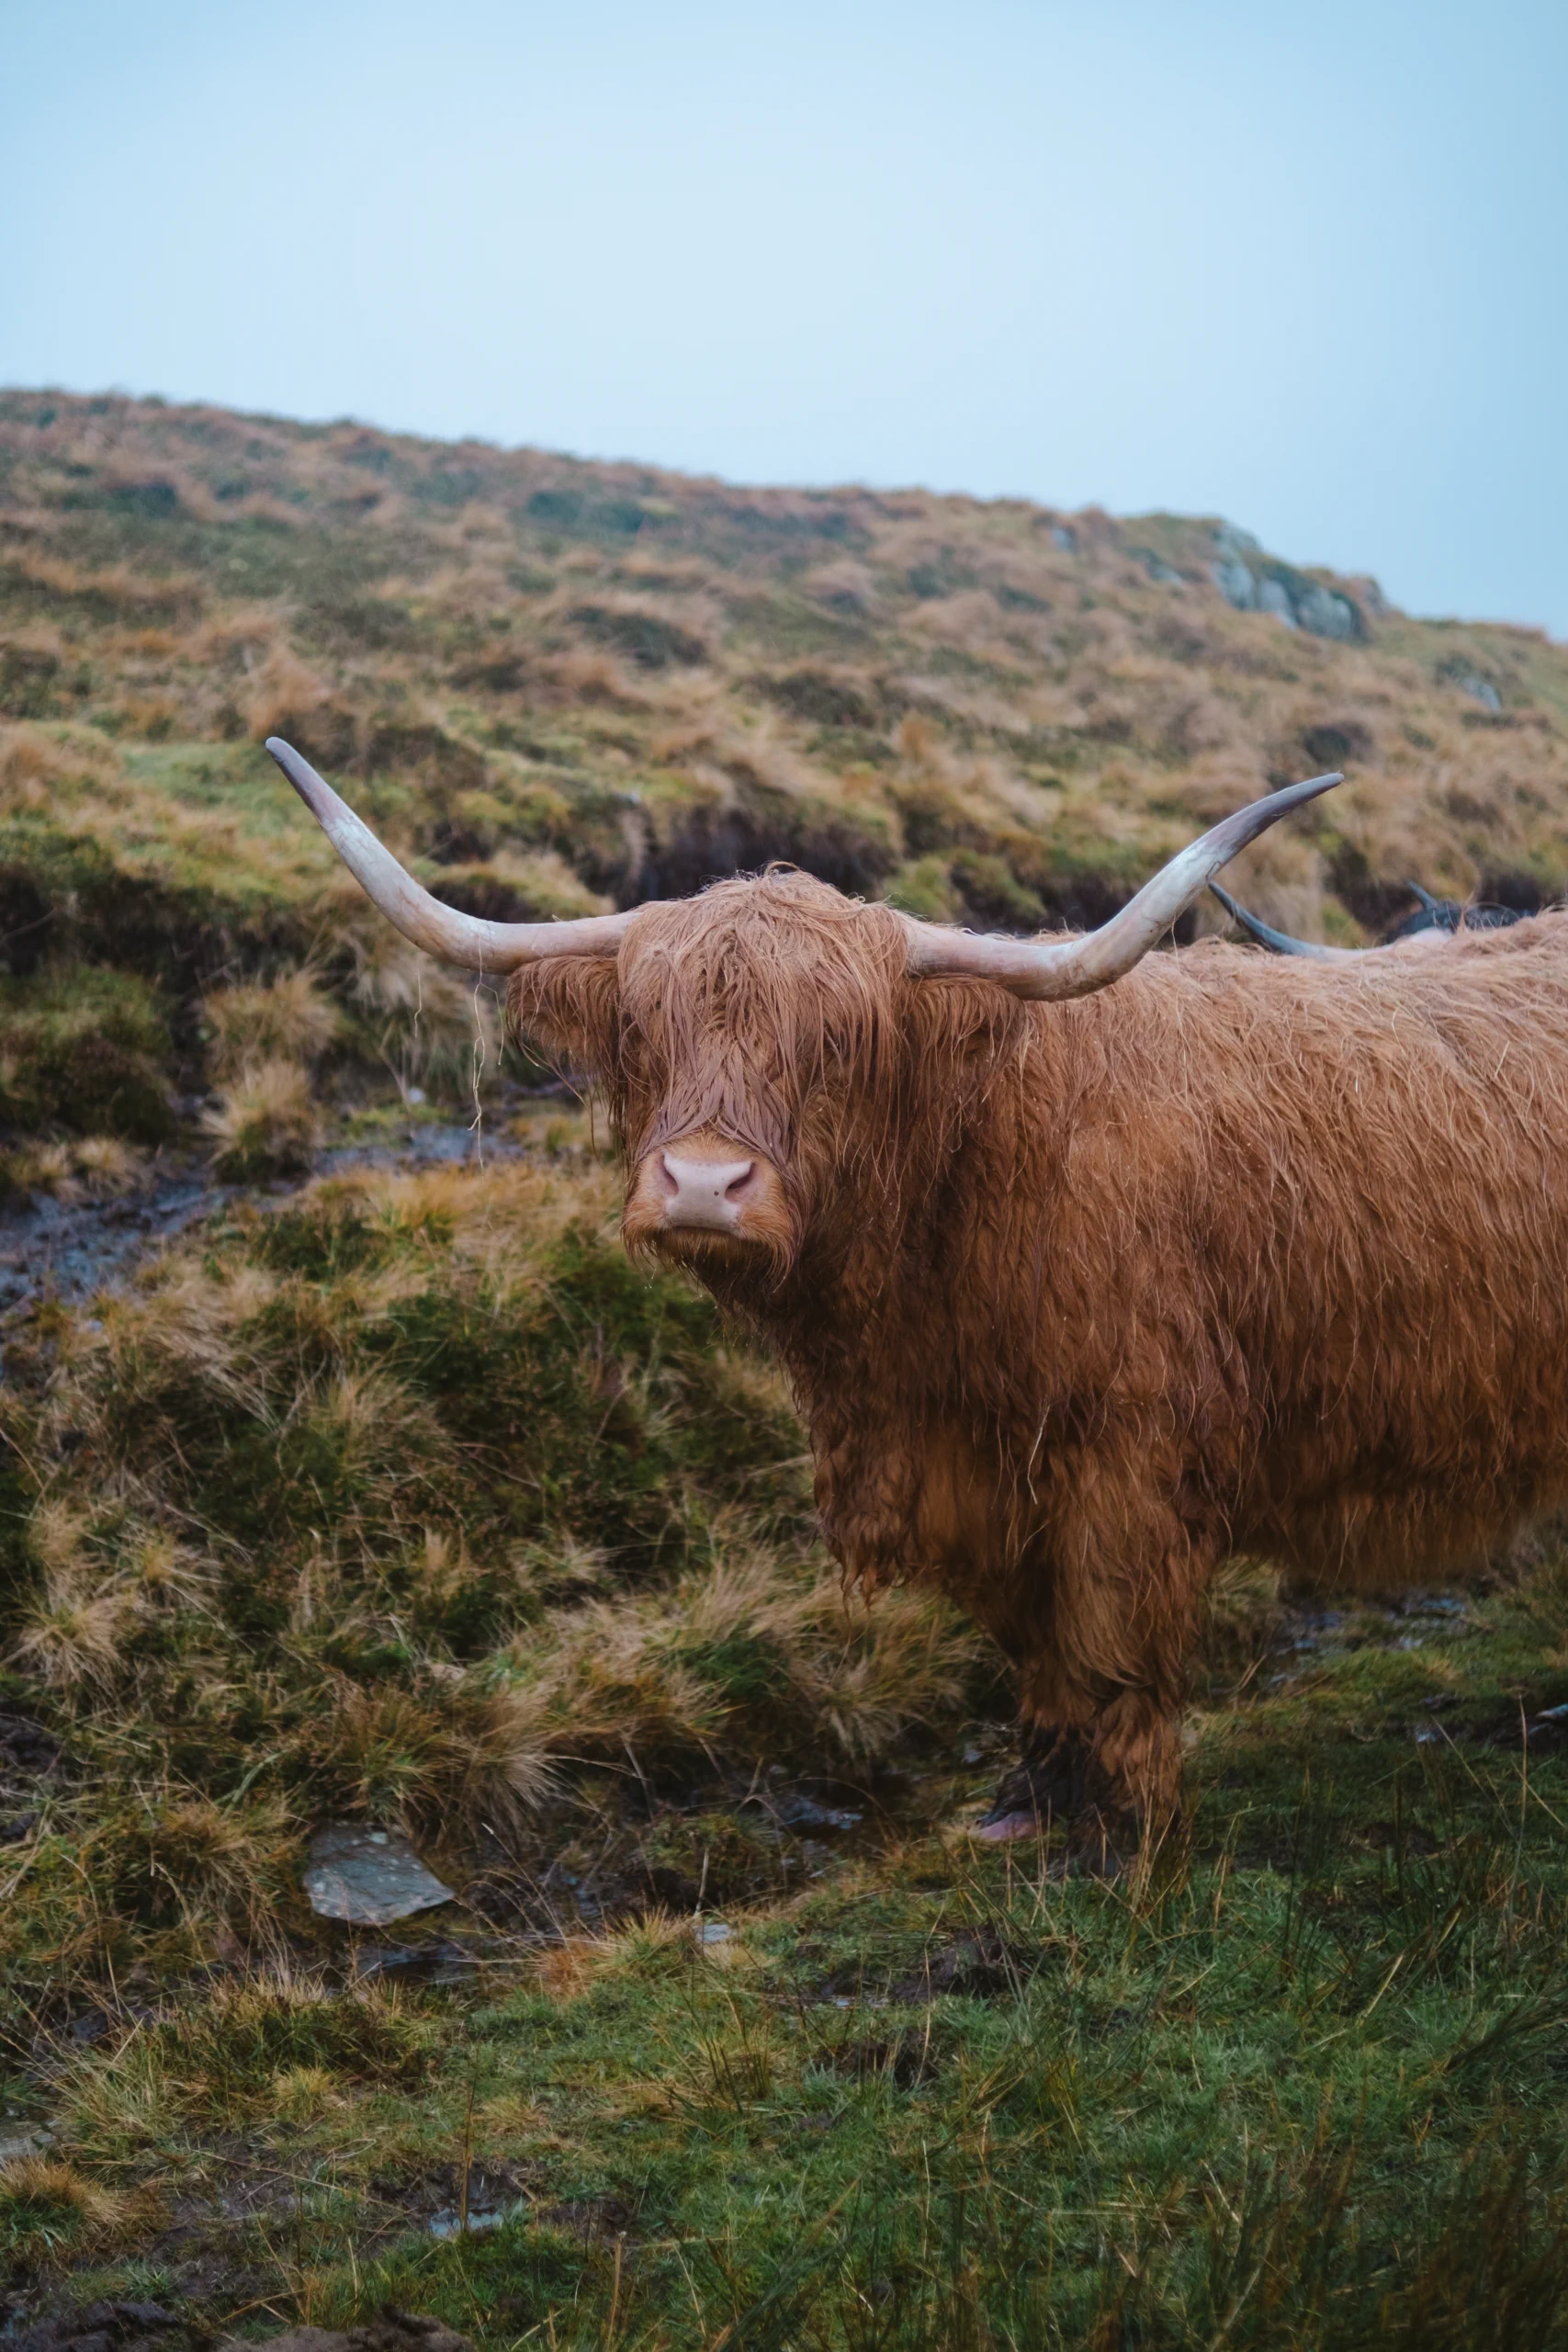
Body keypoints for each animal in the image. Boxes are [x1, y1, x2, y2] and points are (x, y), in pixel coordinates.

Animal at [267, 735, 1568, 1866]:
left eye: (839, 1042)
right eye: (646, 1026)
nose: (702, 1185)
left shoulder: (1129, 1456)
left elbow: (1110, 1641)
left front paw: (1119, 1832)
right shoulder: (975, 1470)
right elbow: (1036, 1646)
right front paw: (1029, 1803)